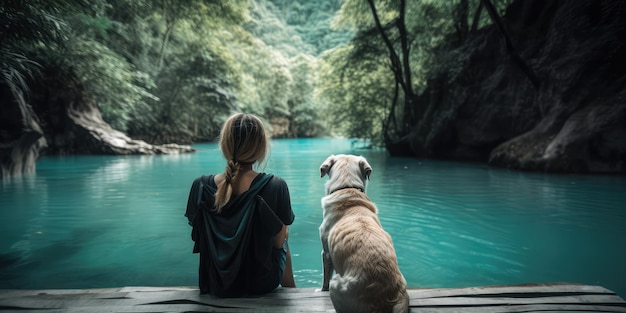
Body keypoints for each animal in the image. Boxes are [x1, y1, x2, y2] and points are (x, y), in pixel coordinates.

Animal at [316, 154, 410, 312]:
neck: (347, 188)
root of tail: (388, 296)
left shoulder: (326, 253)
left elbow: (325, 281)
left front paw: (322, 290)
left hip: (337, 285)